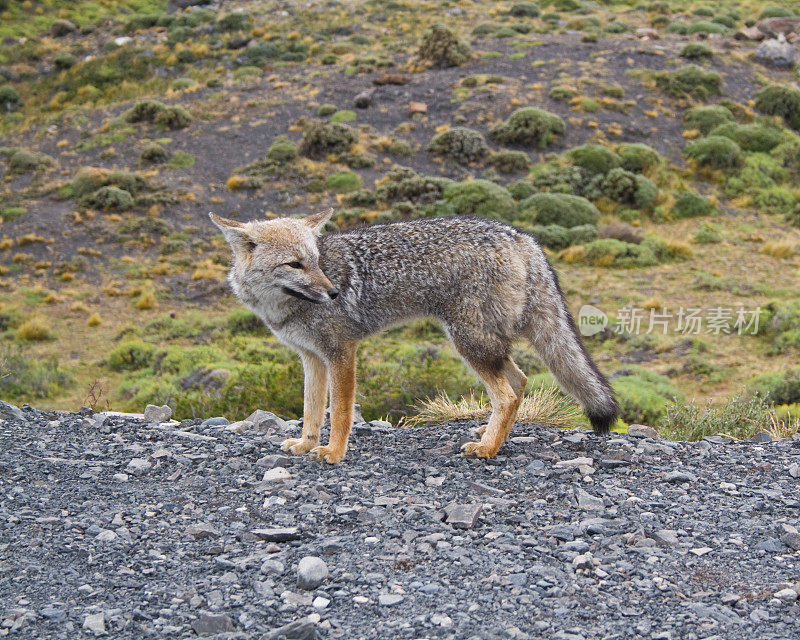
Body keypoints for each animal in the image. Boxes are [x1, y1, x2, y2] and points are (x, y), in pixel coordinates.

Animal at [209, 210, 616, 464]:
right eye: (295, 264)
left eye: (316, 261)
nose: (334, 293)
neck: (283, 307)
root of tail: (521, 236)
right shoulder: (311, 357)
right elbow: (311, 409)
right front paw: (306, 444)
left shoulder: (341, 351)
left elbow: (339, 411)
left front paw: (334, 453)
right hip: (484, 343)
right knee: (519, 381)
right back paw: (492, 436)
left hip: (469, 342)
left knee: (509, 393)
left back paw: (487, 449)